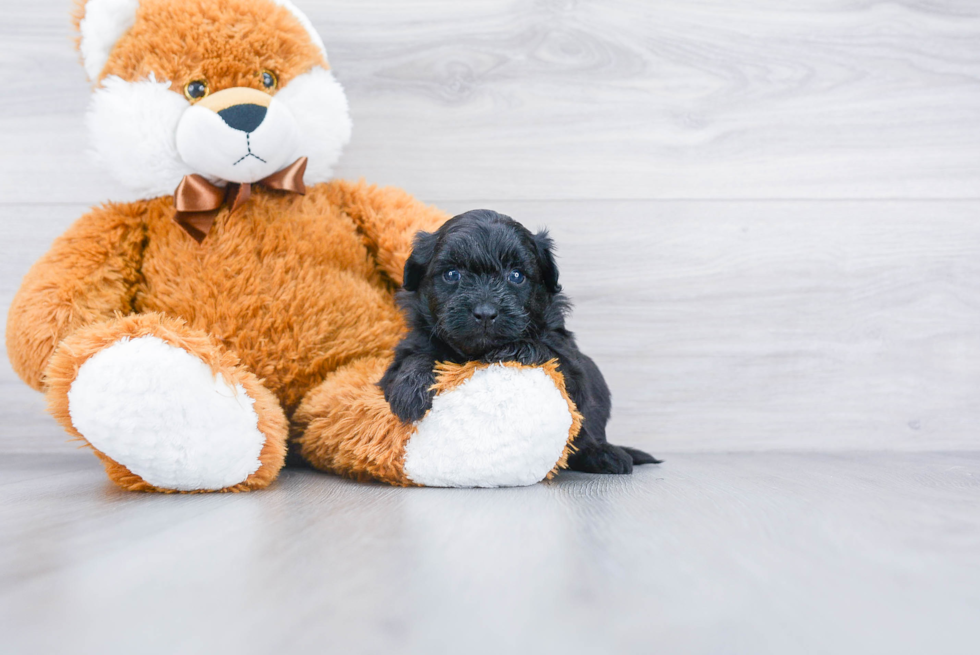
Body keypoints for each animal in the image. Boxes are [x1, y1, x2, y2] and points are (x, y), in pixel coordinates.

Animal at [378, 213, 664, 474]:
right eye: (451, 274)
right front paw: (411, 388)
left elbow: (552, 357)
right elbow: (415, 358)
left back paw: (604, 454)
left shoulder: (571, 364)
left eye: (516, 275)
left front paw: (517, 348)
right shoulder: (403, 355)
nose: (485, 312)